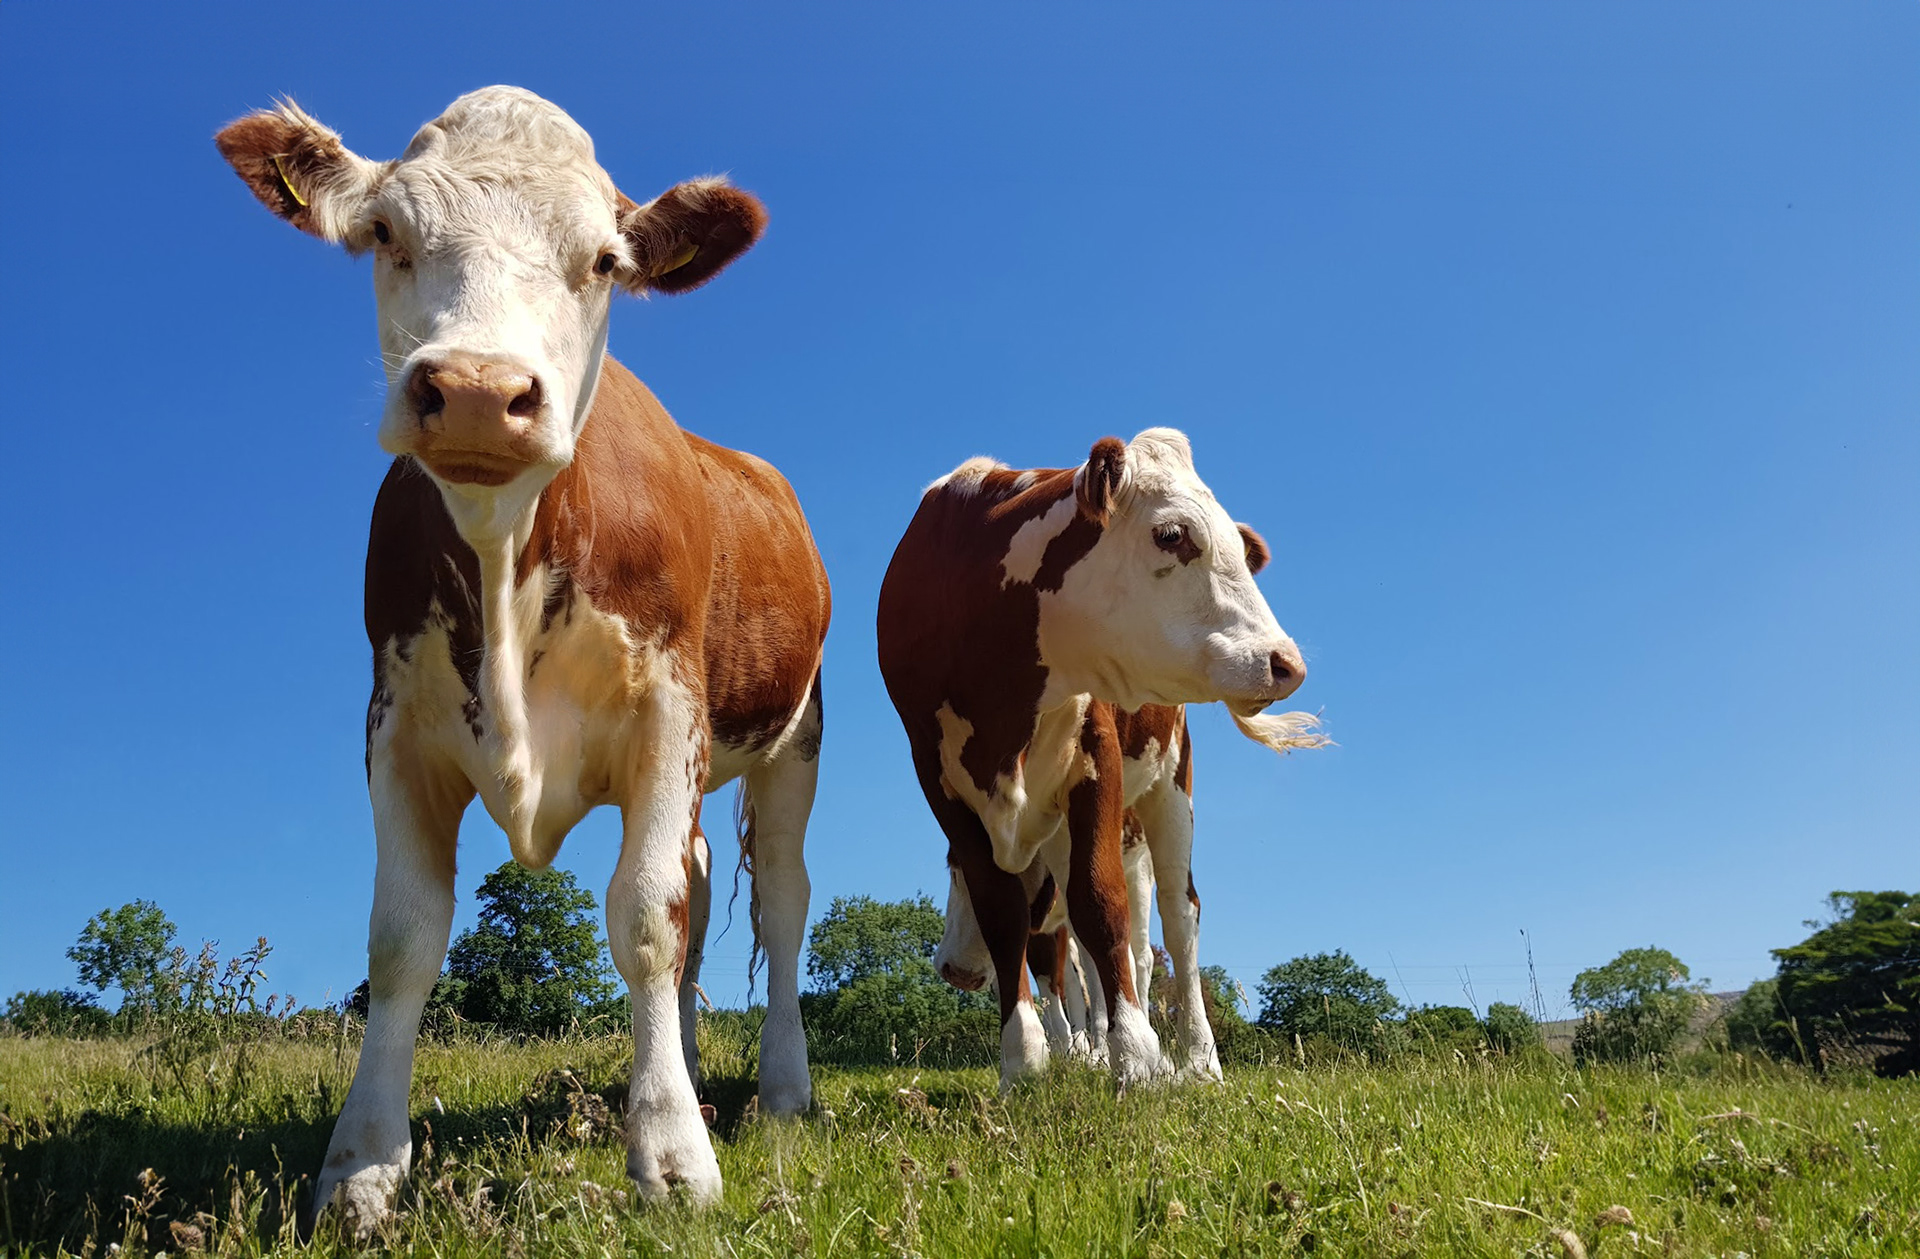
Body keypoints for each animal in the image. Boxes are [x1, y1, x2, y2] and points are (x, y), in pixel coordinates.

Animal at [215, 87, 829, 1234]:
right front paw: (361, 1168)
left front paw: (670, 1154)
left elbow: (644, 918)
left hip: (793, 738)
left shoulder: (672, 713)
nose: (473, 388)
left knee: (780, 896)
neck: (507, 548)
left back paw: (780, 1089)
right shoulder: (394, 727)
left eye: (603, 260)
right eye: (385, 233)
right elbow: (402, 936)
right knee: (698, 889)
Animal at [877, 430, 1320, 1090]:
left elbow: (1100, 904)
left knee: (1176, 919)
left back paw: (1196, 1060)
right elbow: (1010, 921)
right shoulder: (940, 782)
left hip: (1170, 789)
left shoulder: (1097, 760)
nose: (1285, 662)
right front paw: (1024, 1064)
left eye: (1236, 547)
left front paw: (1136, 1057)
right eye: (1173, 534)